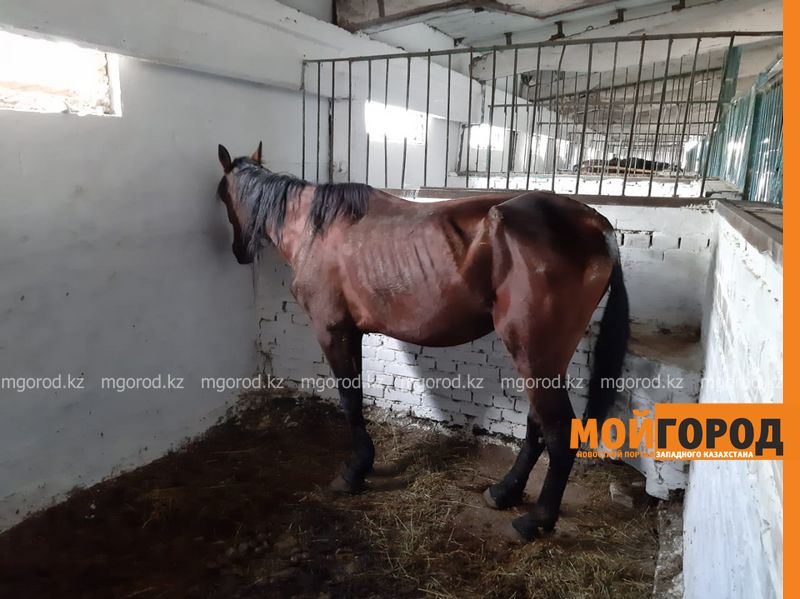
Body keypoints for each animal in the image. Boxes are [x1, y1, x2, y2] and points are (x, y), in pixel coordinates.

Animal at [216, 142, 629, 541]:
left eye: (222, 194)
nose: (239, 251)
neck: (315, 228)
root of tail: (598, 226)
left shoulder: (332, 330)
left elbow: (350, 401)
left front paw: (353, 472)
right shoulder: (353, 332)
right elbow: (357, 396)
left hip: (534, 355)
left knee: (559, 432)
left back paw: (534, 521)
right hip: (544, 358)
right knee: (537, 423)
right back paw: (504, 491)